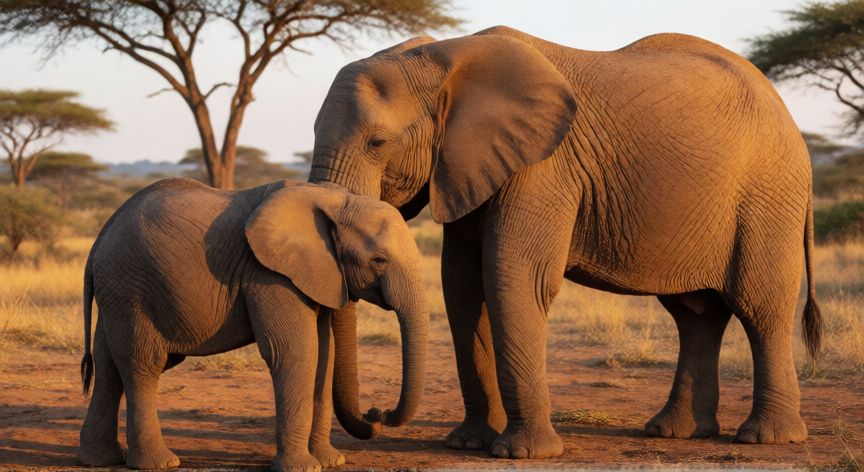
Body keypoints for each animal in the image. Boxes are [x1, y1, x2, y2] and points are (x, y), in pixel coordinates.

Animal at [75, 178, 428, 471]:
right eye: (379, 260)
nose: (377, 413)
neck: (332, 200)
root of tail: (98, 241)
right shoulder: (268, 274)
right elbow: (294, 352)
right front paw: (303, 467)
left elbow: (323, 357)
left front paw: (331, 461)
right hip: (131, 288)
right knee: (143, 364)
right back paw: (159, 463)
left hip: (117, 292)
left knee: (108, 366)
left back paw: (100, 460)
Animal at [309, 26, 823, 459]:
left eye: (378, 143)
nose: (376, 415)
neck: (445, 58)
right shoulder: (464, 166)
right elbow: (462, 288)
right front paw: (467, 444)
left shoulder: (543, 168)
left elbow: (514, 278)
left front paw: (523, 454)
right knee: (696, 314)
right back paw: (675, 432)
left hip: (768, 194)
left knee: (760, 306)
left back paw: (766, 438)